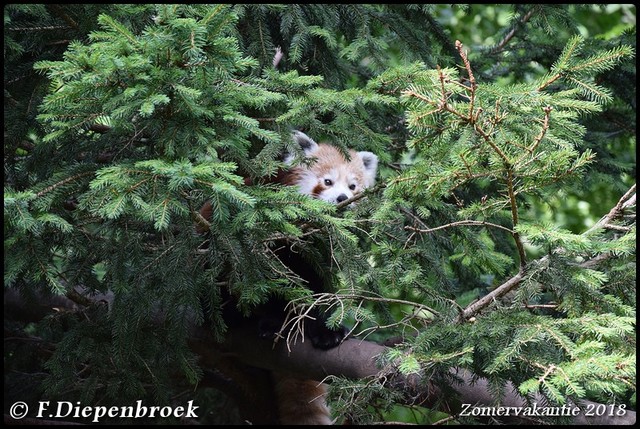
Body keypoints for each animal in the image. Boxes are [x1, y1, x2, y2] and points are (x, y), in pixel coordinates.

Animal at [200, 131, 378, 424]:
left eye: (353, 187)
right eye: (327, 181)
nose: (342, 198)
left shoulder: (320, 252)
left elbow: (318, 287)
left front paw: (325, 329)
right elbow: (269, 282)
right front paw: (280, 319)